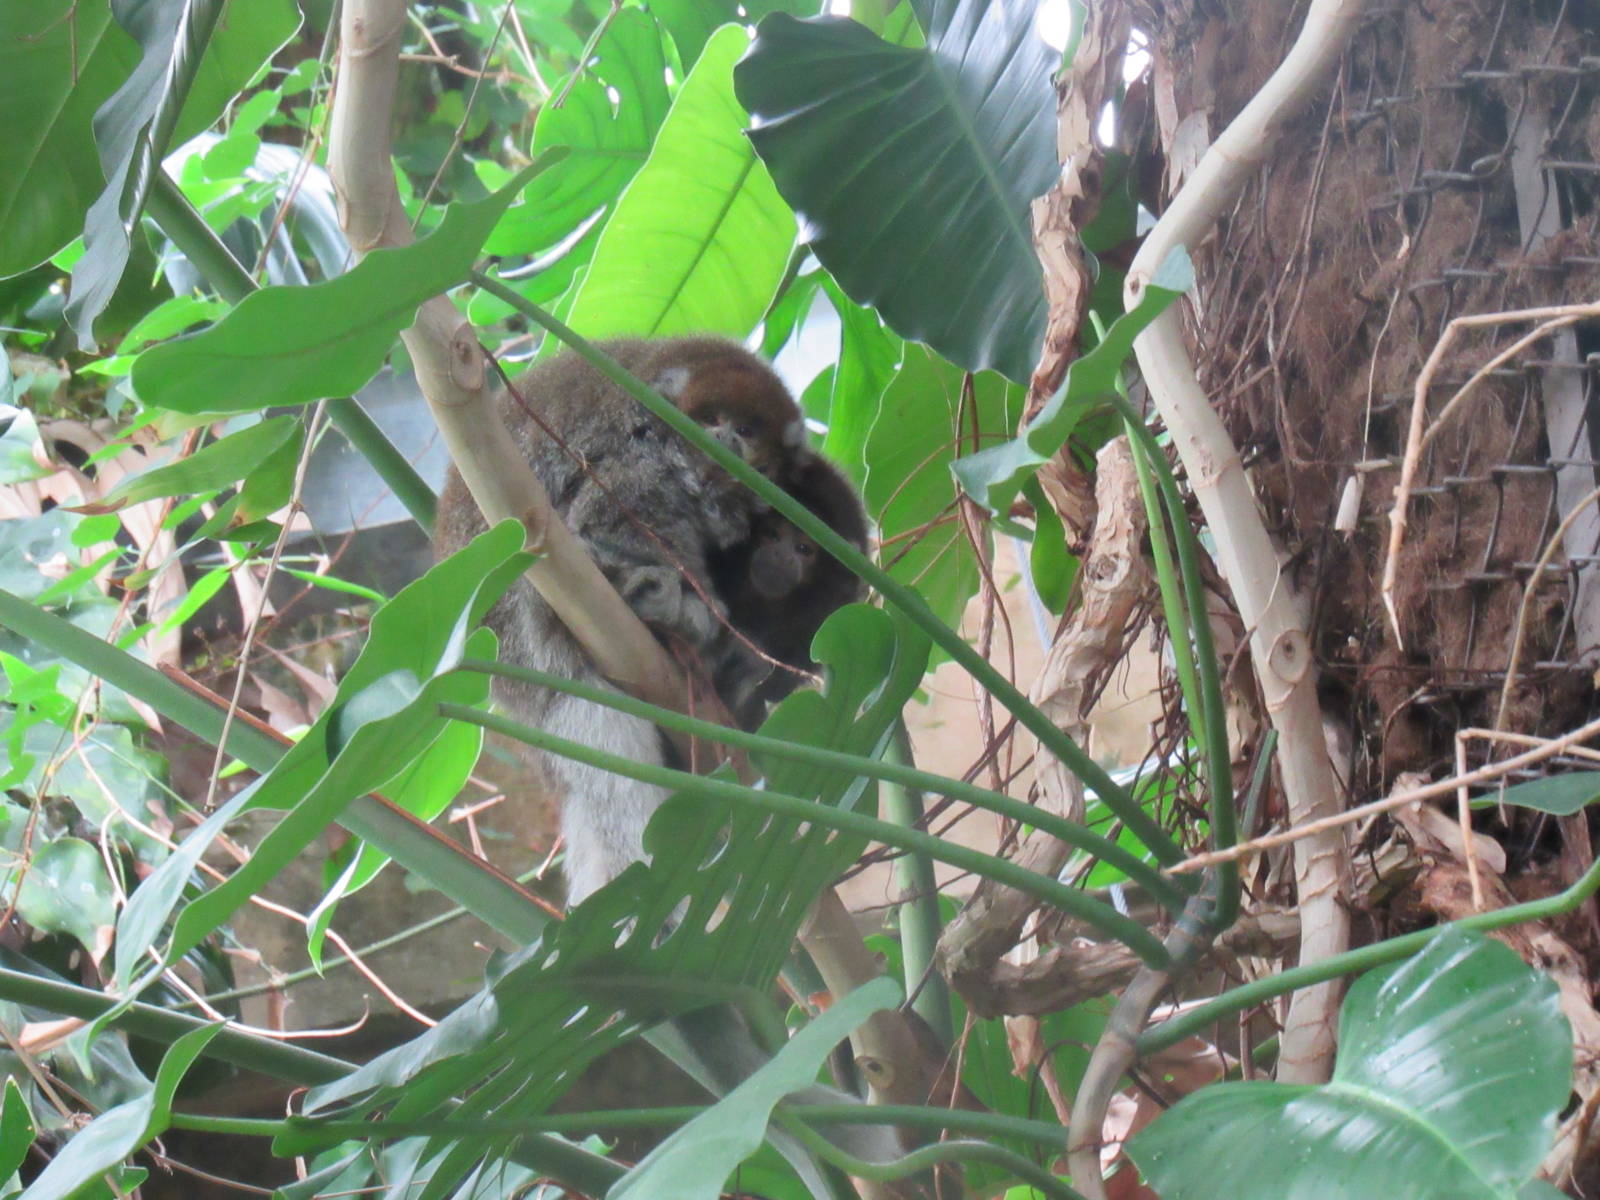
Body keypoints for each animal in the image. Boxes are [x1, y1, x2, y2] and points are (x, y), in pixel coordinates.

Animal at [434, 337, 811, 904]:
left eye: (745, 430)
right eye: (712, 420)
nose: (722, 439)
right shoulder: (643, 449)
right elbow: (614, 508)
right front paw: (688, 607)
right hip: (526, 604)